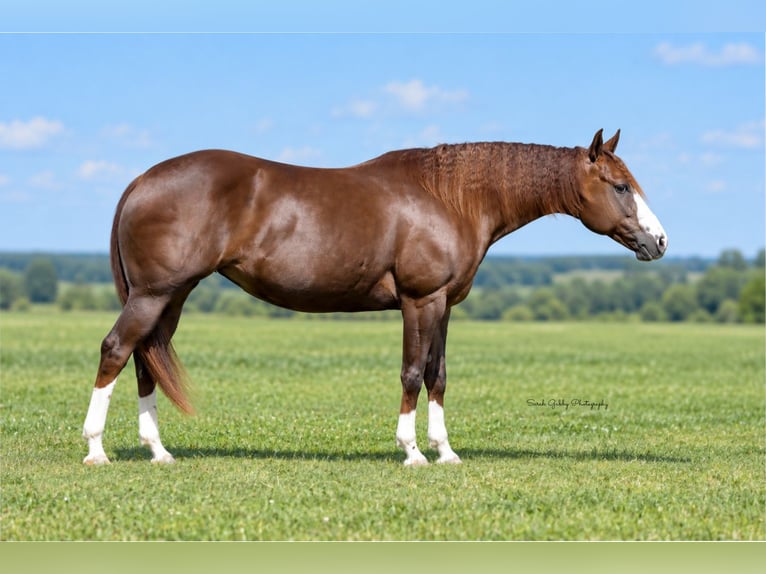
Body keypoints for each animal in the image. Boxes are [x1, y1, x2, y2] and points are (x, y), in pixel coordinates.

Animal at [82, 129, 667, 466]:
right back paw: (96, 451)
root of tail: (141, 180)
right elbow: (411, 373)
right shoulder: (420, 300)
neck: (449, 198)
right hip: (154, 294)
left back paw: (159, 452)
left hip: (171, 297)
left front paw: (446, 452)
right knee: (115, 350)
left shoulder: (444, 305)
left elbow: (437, 375)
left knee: (144, 359)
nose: (659, 242)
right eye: (619, 186)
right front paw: (412, 453)